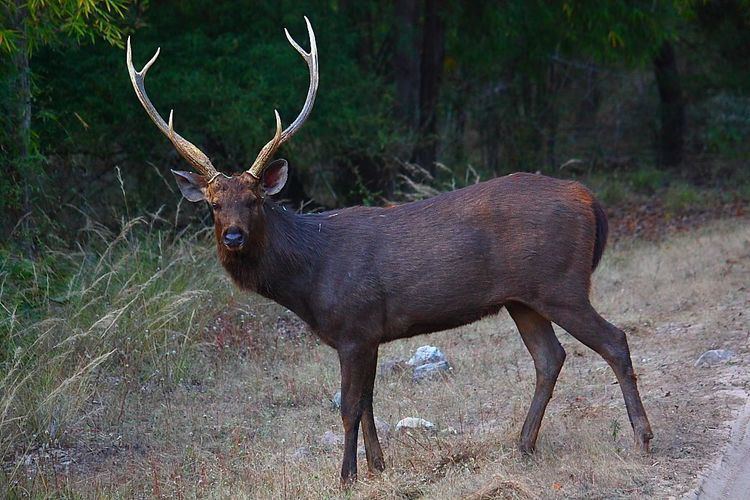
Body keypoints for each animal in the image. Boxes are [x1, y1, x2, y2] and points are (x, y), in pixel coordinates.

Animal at [126, 16, 656, 484]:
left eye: (254, 200)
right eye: (214, 205)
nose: (233, 236)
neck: (309, 278)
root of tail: (589, 200)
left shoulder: (354, 326)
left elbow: (348, 407)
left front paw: (345, 476)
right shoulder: (370, 332)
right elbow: (367, 403)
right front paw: (379, 467)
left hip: (561, 282)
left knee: (615, 340)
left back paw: (642, 439)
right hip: (522, 298)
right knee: (550, 357)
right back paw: (523, 445)